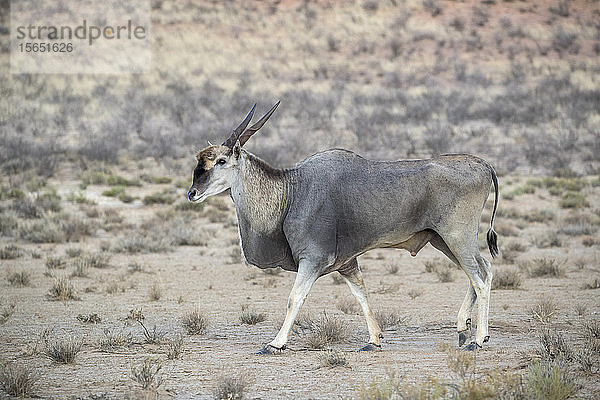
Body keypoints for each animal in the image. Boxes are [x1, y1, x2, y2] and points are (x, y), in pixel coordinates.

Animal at [188, 102, 496, 354]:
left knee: (481, 276)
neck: (291, 190)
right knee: (481, 271)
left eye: (221, 161)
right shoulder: (347, 264)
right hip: (443, 241)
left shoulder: (312, 260)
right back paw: (463, 329)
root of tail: (483, 164)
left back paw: (478, 339)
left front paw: (276, 343)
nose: (192, 193)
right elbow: (361, 294)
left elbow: (294, 298)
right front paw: (373, 340)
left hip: (457, 238)